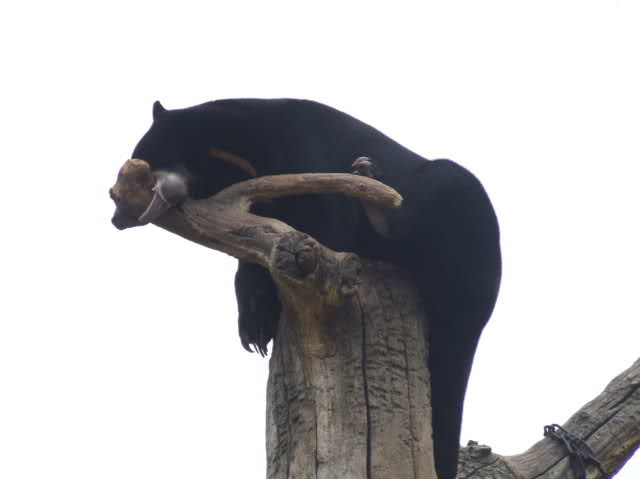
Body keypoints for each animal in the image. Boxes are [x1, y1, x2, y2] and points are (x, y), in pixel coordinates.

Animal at [111, 98, 502, 479]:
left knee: (445, 187)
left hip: (471, 229)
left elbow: (328, 225)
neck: (236, 155)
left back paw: (373, 192)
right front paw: (254, 327)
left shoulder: (307, 156)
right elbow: (255, 256)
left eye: (144, 168)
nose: (118, 218)